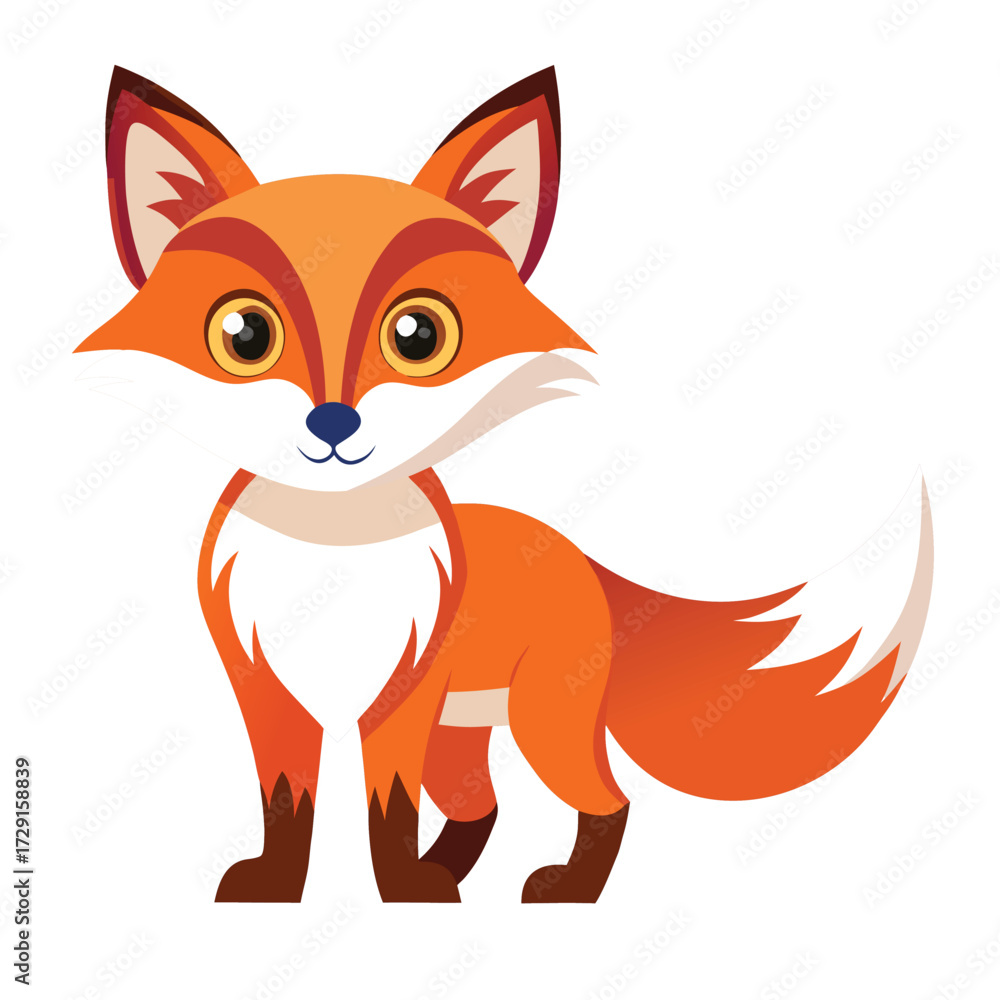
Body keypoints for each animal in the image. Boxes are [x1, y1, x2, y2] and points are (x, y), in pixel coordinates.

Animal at [75, 66, 933, 904]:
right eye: (245, 334)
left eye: (417, 335)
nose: (333, 421)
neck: (336, 552)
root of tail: (582, 562)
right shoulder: (267, 689)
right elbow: (288, 802)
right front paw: (279, 890)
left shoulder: (404, 694)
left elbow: (386, 807)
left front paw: (401, 894)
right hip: (466, 733)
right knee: (482, 805)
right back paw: (452, 875)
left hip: (540, 718)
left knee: (606, 798)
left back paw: (561, 890)